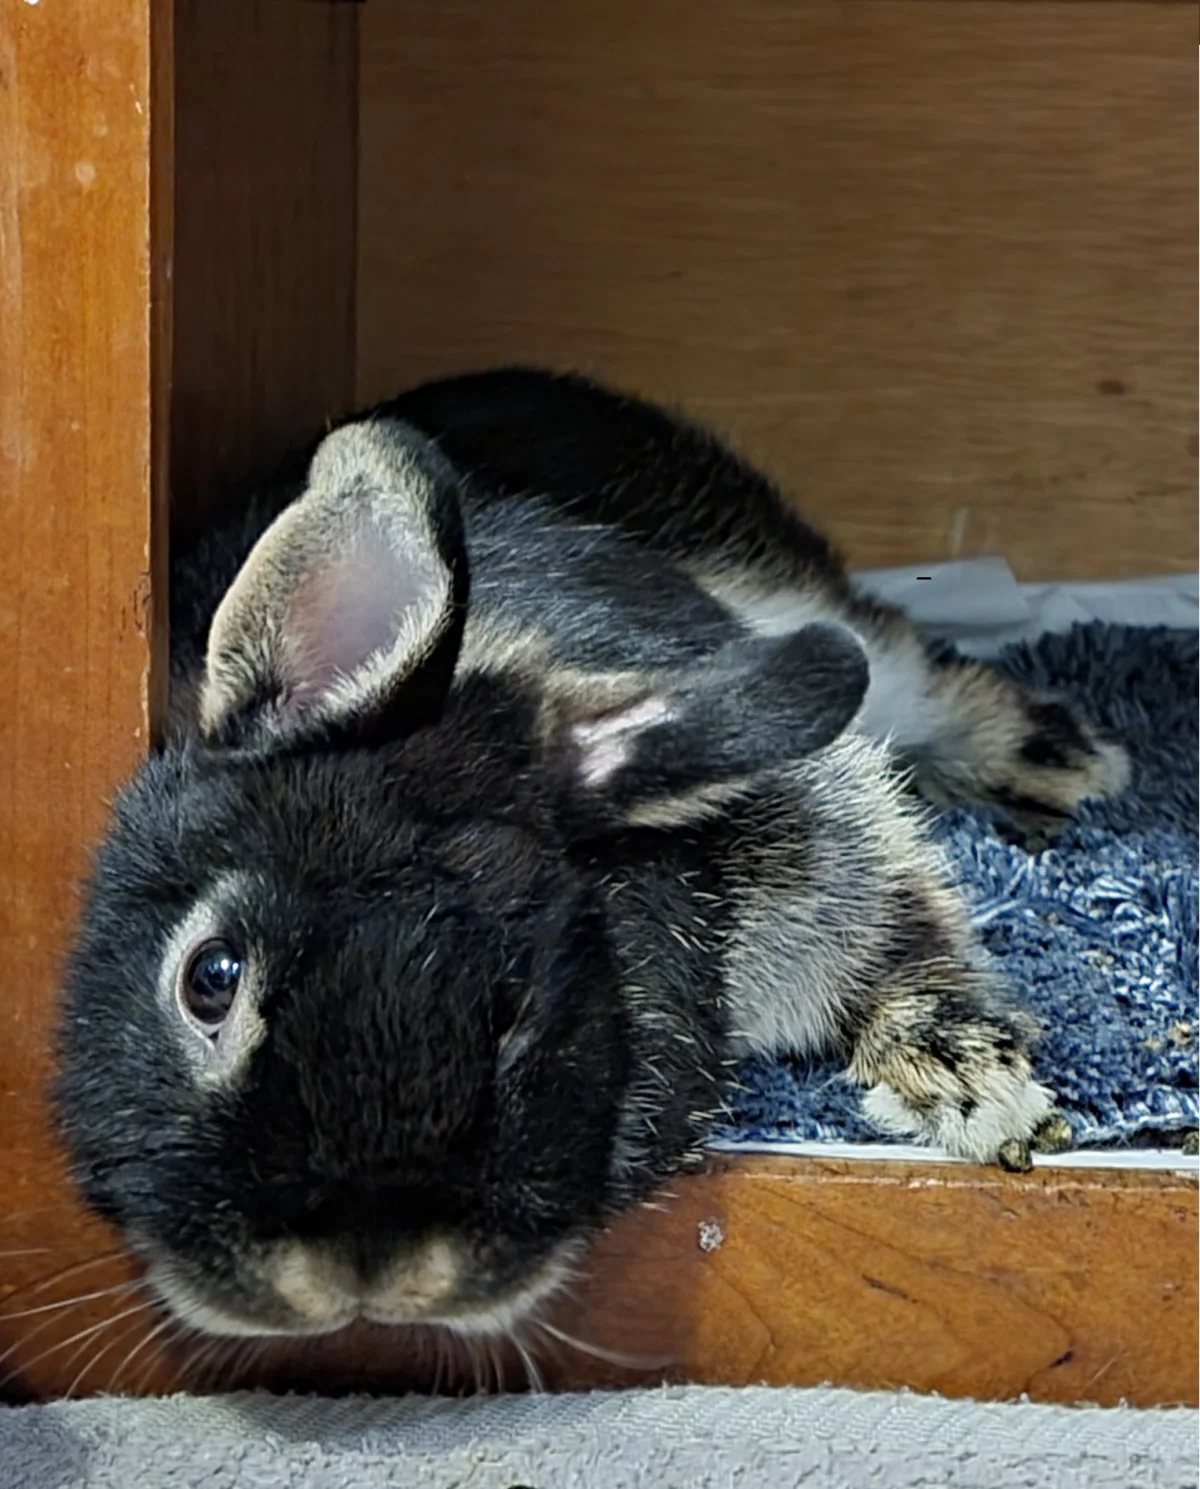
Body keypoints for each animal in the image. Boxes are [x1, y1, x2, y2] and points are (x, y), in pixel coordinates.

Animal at [55, 367, 1128, 1345]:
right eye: (211, 976)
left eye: (520, 1006)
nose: (355, 1277)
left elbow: (900, 922)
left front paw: (981, 1093)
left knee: (928, 672)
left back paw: (1075, 764)